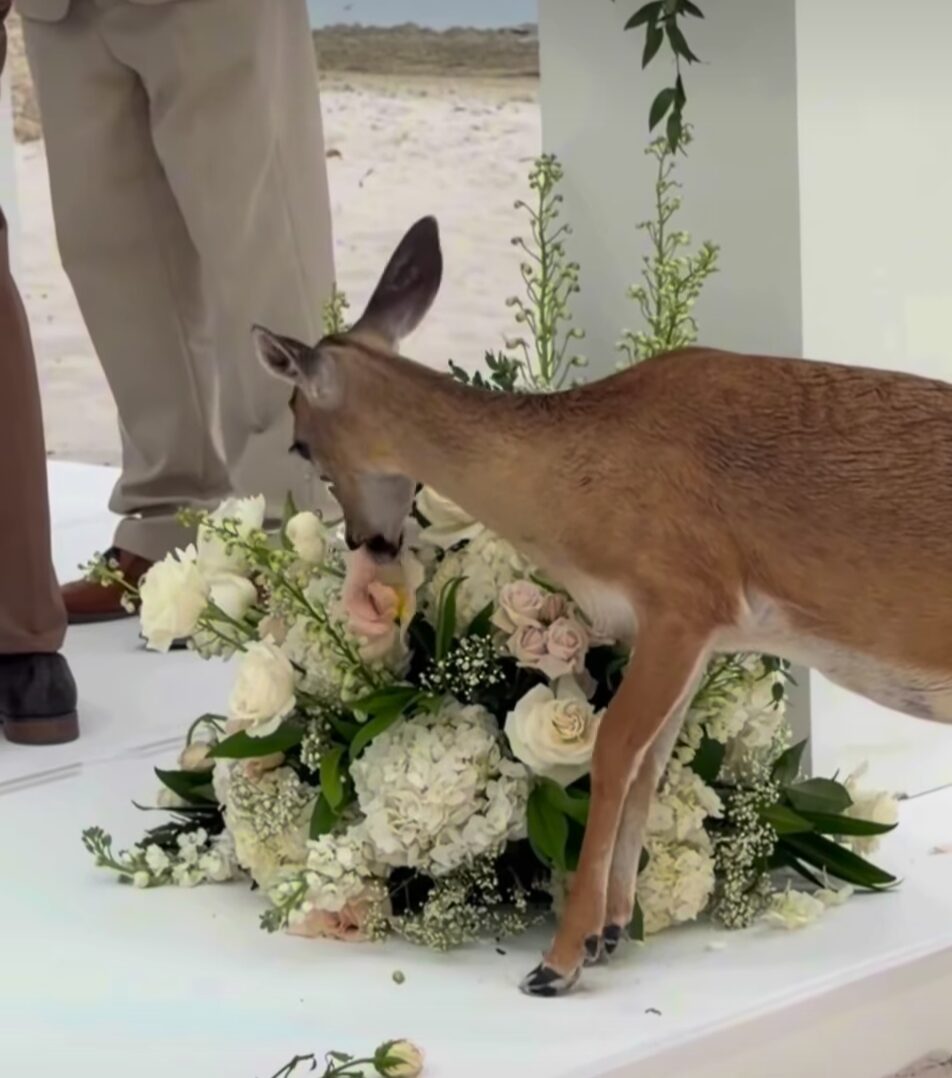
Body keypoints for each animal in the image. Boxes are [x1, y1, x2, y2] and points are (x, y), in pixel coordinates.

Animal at [253, 216, 952, 997]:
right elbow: (651, 760)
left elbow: (614, 746)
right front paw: (610, 932)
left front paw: (559, 960)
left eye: (300, 442)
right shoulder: (695, 631)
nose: (365, 540)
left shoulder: (683, 596)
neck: (577, 481)